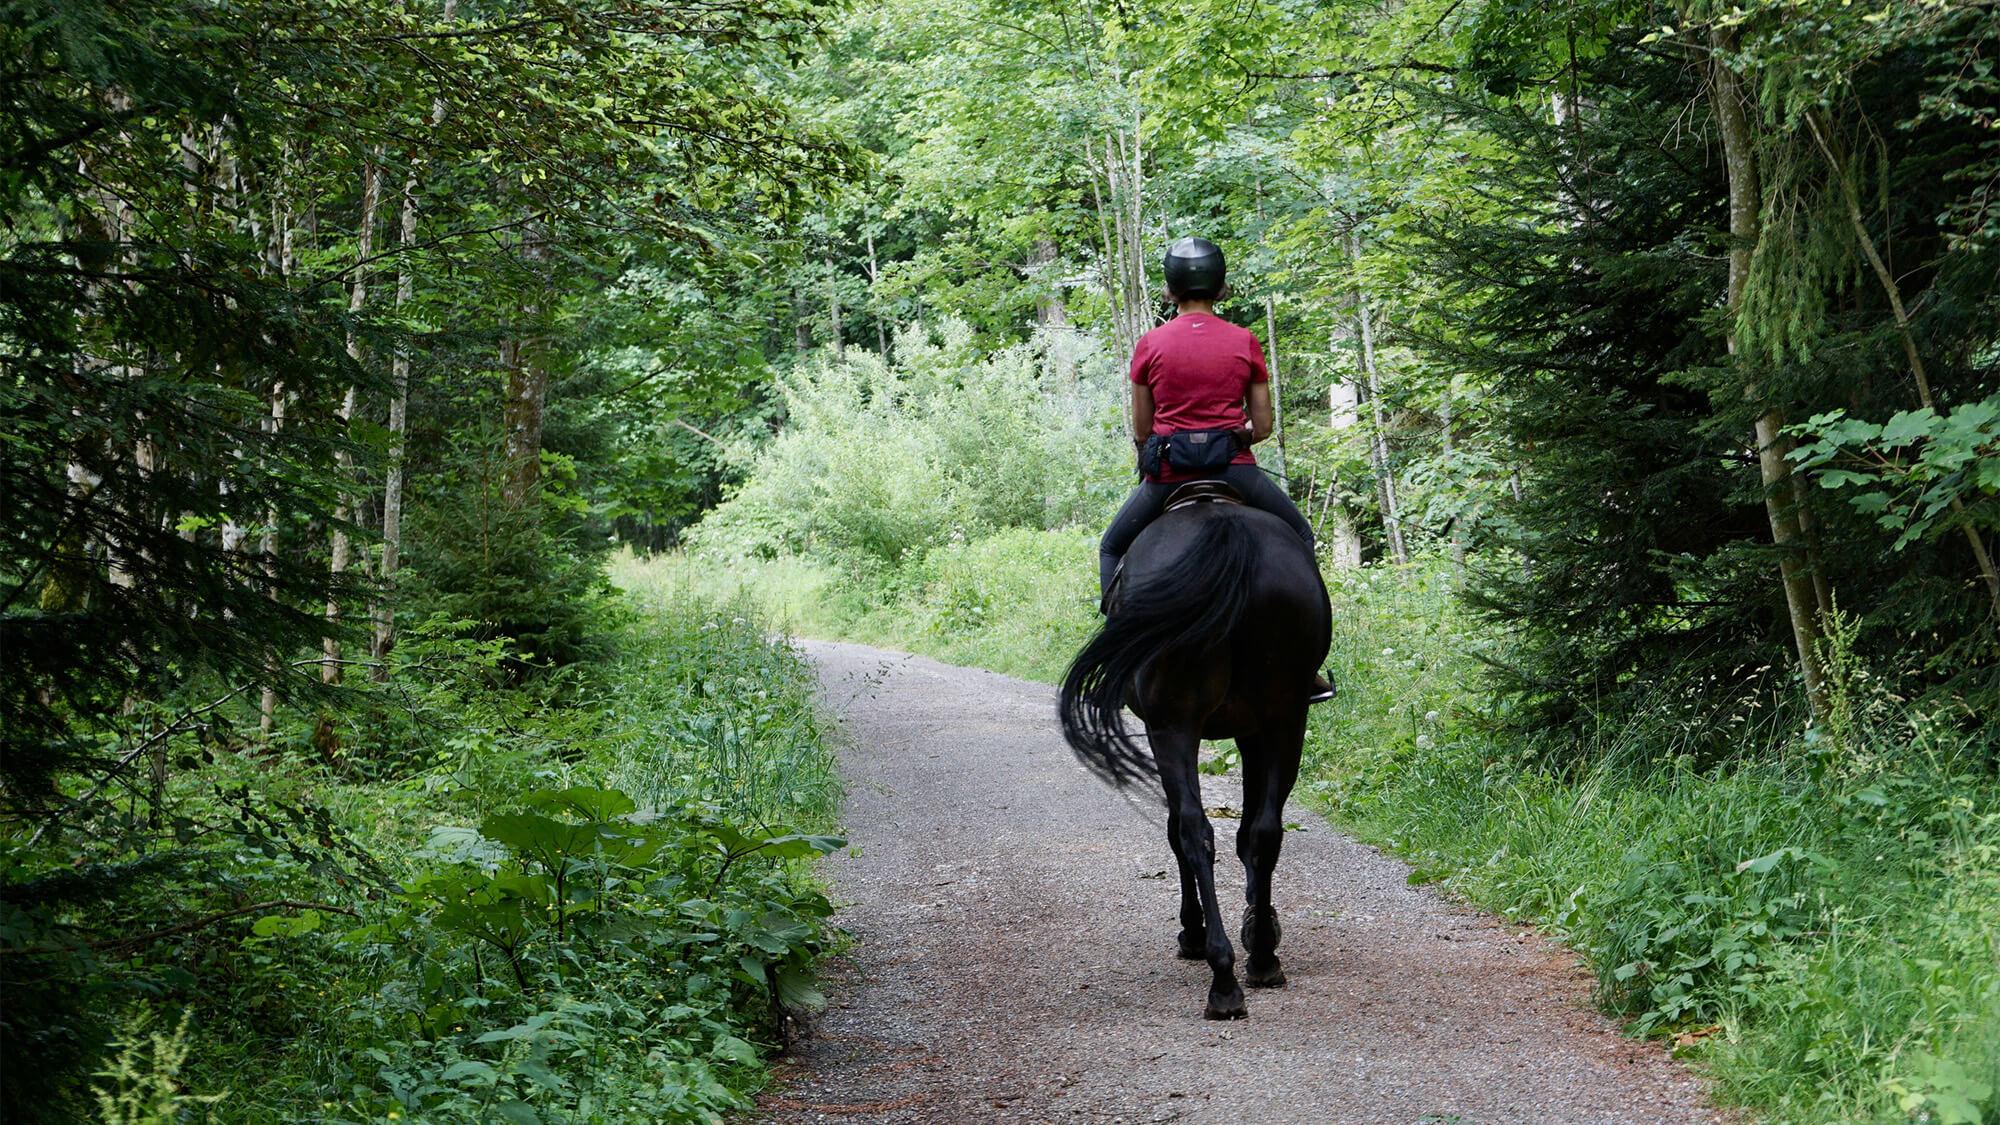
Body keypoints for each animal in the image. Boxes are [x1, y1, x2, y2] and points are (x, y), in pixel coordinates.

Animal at [1064, 490, 1328, 1016]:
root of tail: (1226, 531)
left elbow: (1179, 829)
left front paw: (1196, 929)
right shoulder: (1254, 730)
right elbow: (1249, 832)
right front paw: (1258, 922)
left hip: (1174, 725)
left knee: (1191, 830)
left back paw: (1220, 972)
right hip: (1285, 718)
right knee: (1263, 831)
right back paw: (1261, 959)